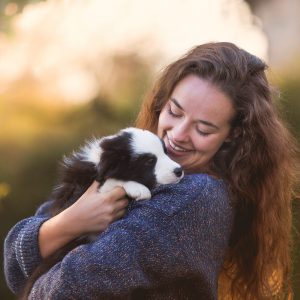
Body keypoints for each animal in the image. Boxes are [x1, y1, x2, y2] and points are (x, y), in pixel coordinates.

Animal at [20, 127, 183, 300]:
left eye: (165, 152)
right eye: (149, 161)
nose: (179, 171)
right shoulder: (78, 193)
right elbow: (110, 181)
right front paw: (138, 188)